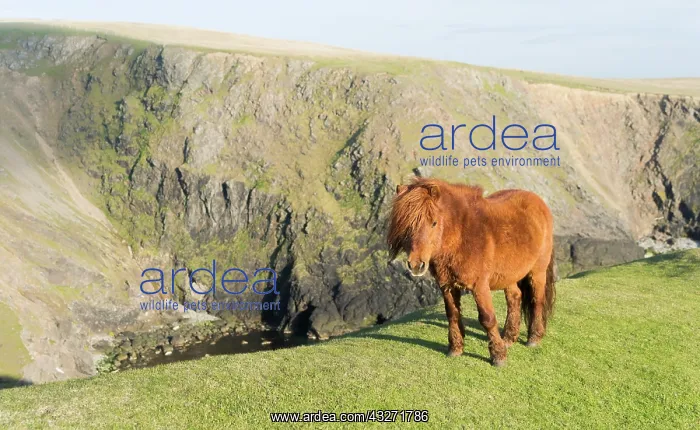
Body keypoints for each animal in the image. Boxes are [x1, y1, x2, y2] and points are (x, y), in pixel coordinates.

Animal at [387, 177, 556, 366]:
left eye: (434, 223)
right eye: (406, 225)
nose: (416, 265)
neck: (462, 235)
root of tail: (539, 201)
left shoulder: (479, 286)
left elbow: (488, 319)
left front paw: (498, 356)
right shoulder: (447, 286)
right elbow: (452, 315)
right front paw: (456, 349)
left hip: (537, 271)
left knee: (537, 300)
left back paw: (534, 338)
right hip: (509, 275)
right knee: (515, 298)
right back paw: (509, 338)